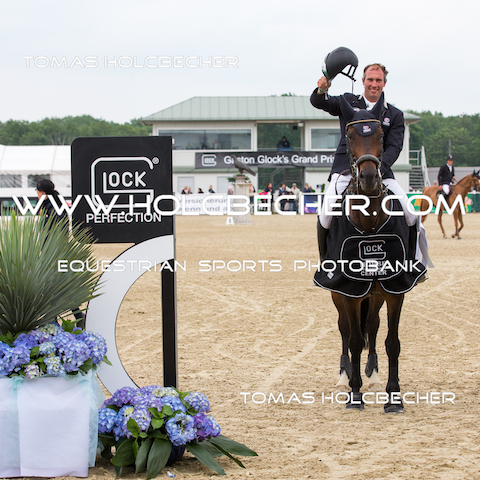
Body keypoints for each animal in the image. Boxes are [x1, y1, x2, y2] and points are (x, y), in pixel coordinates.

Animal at [317, 98, 423, 414]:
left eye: (380, 135)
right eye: (350, 136)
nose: (367, 178)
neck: (368, 222)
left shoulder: (395, 288)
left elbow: (392, 342)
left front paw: (394, 397)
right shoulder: (350, 290)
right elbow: (353, 341)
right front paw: (354, 394)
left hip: (375, 293)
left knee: (373, 327)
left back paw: (373, 376)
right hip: (338, 292)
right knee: (344, 330)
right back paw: (344, 378)